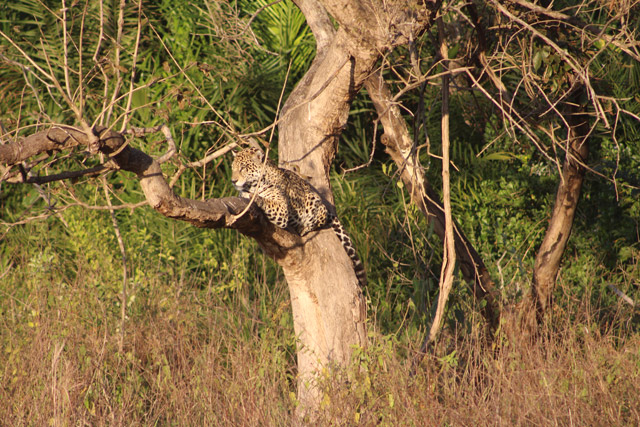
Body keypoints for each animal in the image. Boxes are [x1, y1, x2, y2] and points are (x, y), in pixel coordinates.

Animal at [231, 147, 366, 287]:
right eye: (232, 168)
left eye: (243, 168)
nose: (233, 181)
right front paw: (244, 193)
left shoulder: (282, 209)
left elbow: (265, 200)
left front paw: (252, 196)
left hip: (314, 202)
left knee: (320, 218)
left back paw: (302, 227)